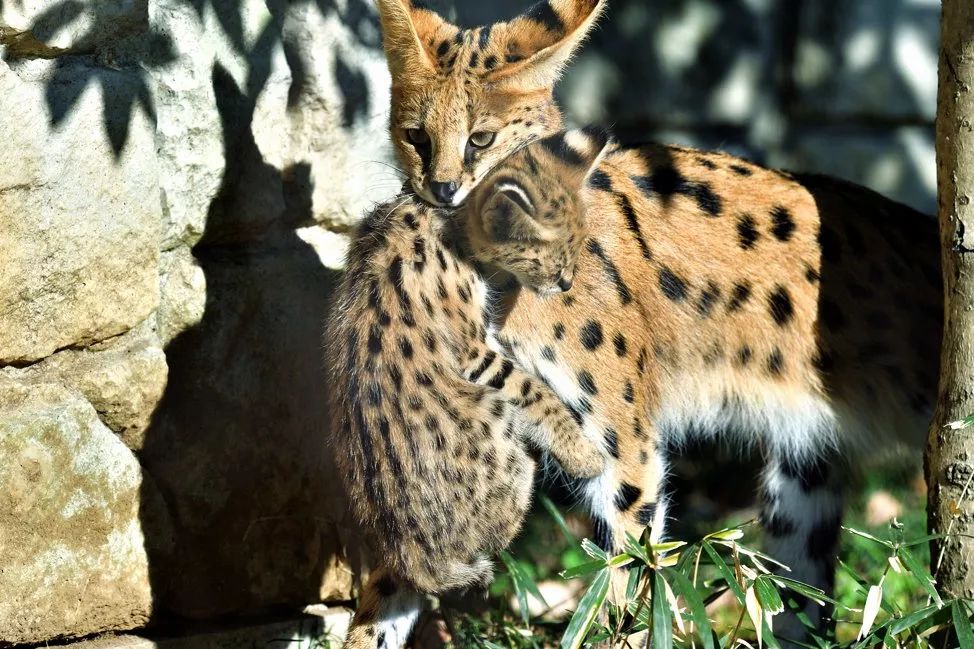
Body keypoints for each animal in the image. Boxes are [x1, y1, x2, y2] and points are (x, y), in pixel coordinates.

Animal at [332, 128, 612, 648]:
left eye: (580, 241)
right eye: (552, 252)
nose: (566, 282)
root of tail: (408, 549)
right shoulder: (473, 349)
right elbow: (531, 387)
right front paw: (583, 455)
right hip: (504, 445)